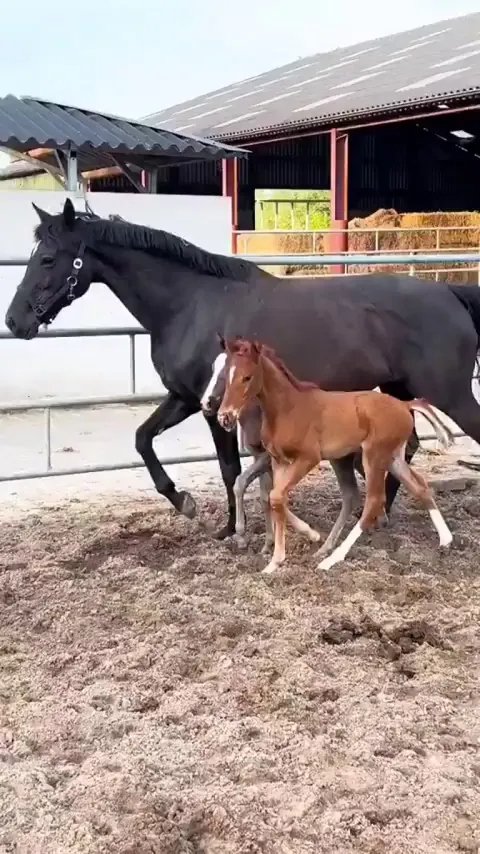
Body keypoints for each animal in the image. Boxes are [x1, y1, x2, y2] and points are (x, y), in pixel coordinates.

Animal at [5, 198, 480, 539]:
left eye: (47, 259)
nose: (14, 321)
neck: (191, 304)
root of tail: (451, 295)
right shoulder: (186, 398)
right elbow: (143, 439)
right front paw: (184, 502)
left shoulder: (216, 406)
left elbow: (228, 468)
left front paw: (231, 530)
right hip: (398, 392)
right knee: (406, 447)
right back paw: (378, 518)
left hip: (451, 394)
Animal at [217, 337, 454, 574]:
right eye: (226, 376)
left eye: (247, 377)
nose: (224, 417)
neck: (288, 409)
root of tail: (404, 404)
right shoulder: (278, 462)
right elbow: (276, 498)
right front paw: (274, 562)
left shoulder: (307, 458)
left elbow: (275, 497)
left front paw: (307, 538)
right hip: (392, 457)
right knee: (419, 487)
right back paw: (446, 540)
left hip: (374, 455)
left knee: (373, 501)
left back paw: (331, 559)